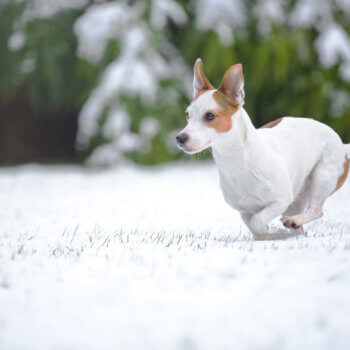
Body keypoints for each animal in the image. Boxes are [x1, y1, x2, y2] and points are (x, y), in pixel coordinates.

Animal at [178, 59, 350, 241]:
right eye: (188, 115)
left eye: (209, 116)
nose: (180, 138)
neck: (238, 161)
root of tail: (342, 145)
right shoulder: (245, 210)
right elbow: (254, 227)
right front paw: (268, 236)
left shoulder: (281, 200)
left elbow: (258, 221)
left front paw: (274, 235)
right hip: (297, 198)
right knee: (301, 224)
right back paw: (295, 228)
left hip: (323, 176)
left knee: (316, 210)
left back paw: (294, 221)